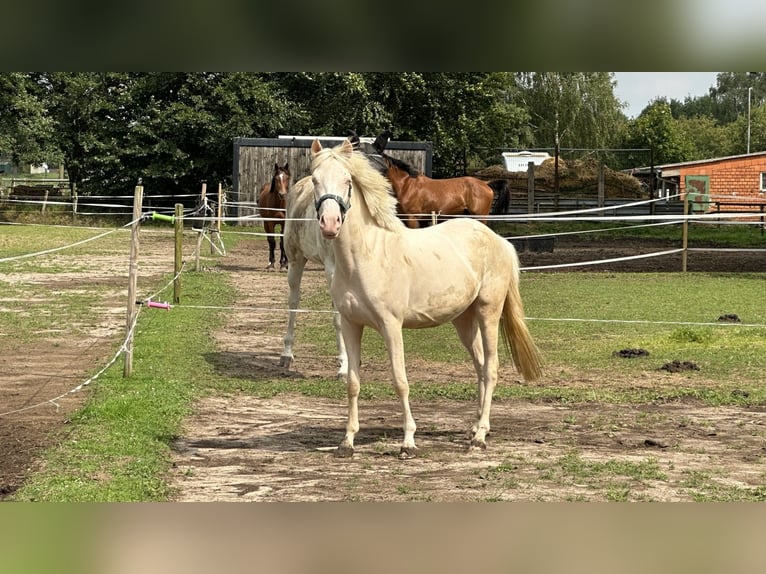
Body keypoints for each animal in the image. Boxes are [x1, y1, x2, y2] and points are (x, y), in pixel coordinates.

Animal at [280, 171, 350, 378]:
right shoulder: (333, 270)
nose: (330, 224)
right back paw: (286, 354)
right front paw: (345, 367)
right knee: (293, 302)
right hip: (295, 261)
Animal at [308, 140, 544, 460]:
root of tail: (498, 240)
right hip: (464, 320)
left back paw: (480, 436)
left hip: (488, 312)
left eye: (347, 182)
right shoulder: (350, 325)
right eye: (314, 180)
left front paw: (408, 441)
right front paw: (347, 442)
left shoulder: (391, 326)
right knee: (480, 367)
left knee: (491, 369)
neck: (366, 256)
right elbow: (353, 383)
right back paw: (475, 426)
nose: (330, 224)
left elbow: (400, 381)